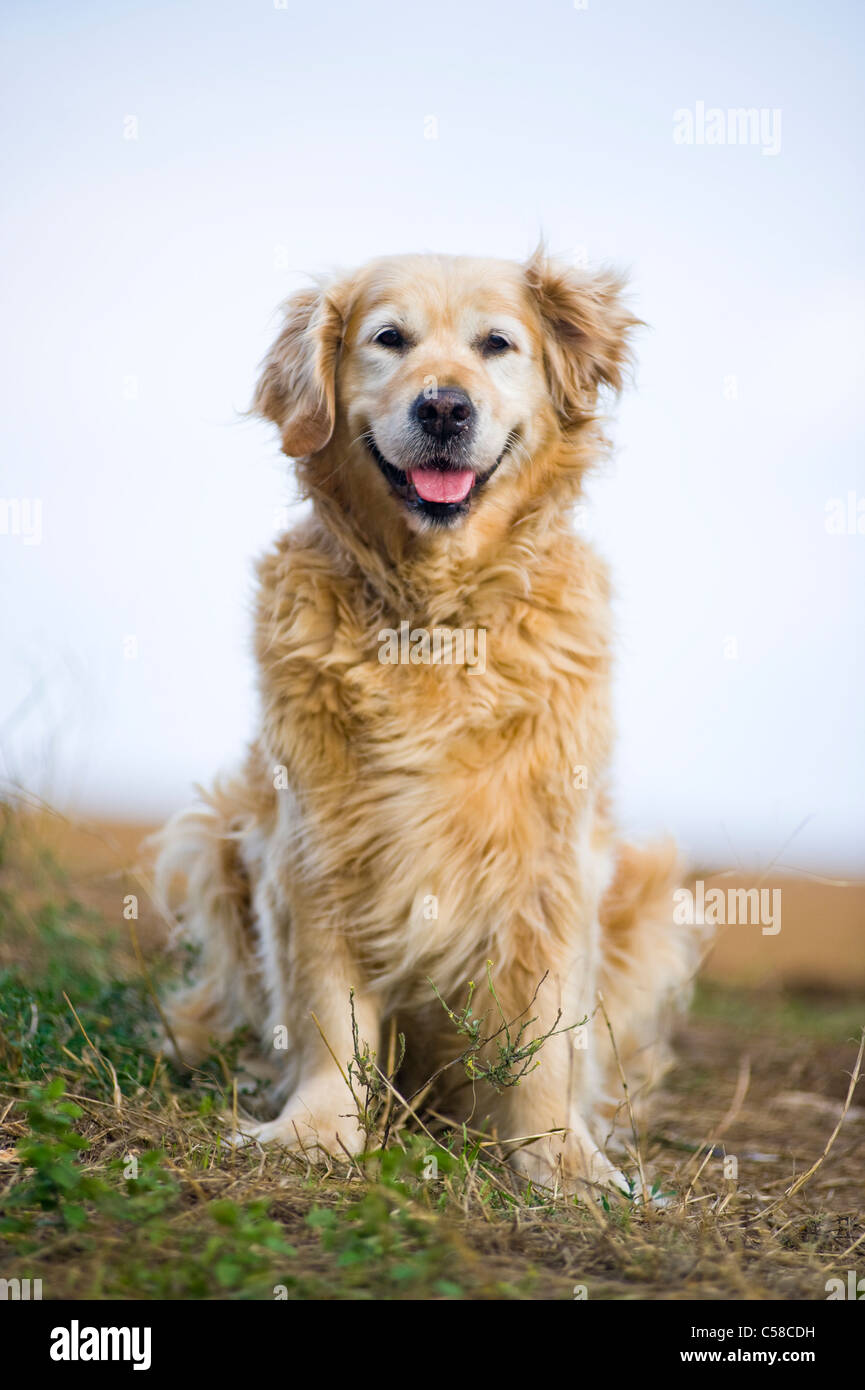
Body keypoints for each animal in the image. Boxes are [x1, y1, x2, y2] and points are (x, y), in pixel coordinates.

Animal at [155, 244, 709, 1189]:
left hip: (640, 896)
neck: (436, 612)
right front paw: (316, 1131)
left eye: (496, 344)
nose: (444, 406)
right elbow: (328, 1008)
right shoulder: (317, 838)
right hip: (220, 828)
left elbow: (547, 1032)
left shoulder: (550, 857)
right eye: (389, 339)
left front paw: (559, 1160)